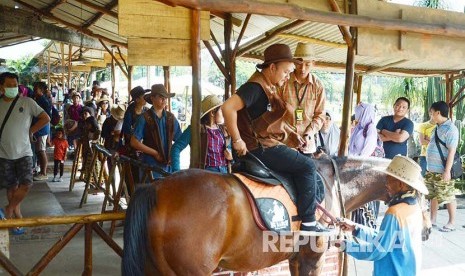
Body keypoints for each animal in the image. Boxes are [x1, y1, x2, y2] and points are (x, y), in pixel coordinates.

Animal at [121, 156, 430, 274]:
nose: (427, 230)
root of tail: (156, 187)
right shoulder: (313, 259)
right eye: (426, 197)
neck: (333, 182)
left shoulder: (295, 258)